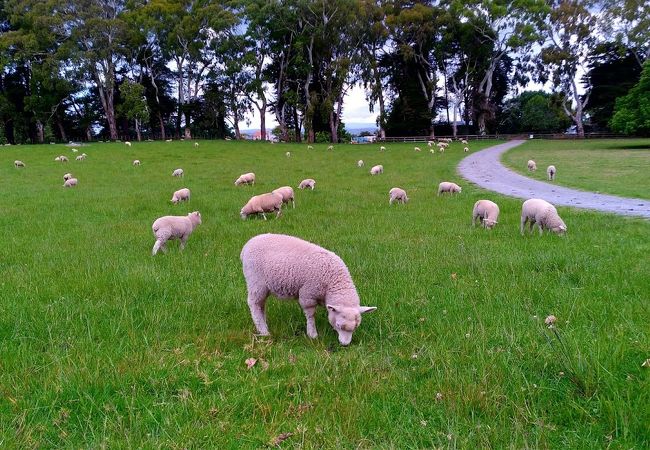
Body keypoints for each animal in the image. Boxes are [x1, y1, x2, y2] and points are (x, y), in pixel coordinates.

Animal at [240, 234, 378, 346]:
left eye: (356, 327)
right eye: (339, 325)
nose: (345, 345)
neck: (333, 281)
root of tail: (247, 245)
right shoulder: (308, 294)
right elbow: (311, 314)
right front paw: (312, 334)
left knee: (261, 305)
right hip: (256, 281)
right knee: (254, 304)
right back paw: (263, 331)